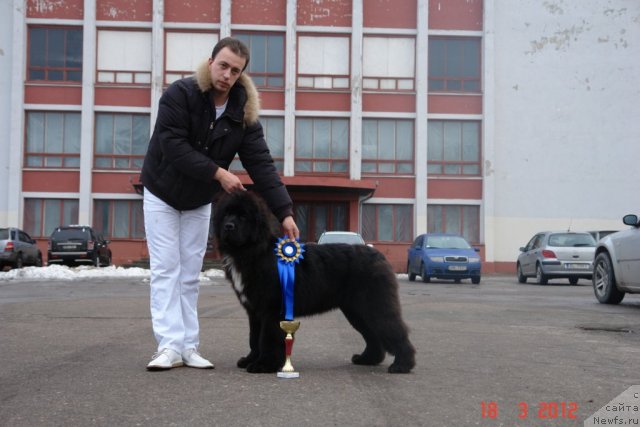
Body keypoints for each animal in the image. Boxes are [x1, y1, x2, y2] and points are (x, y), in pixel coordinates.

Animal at [212, 191, 418, 374]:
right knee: (373, 335)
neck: (253, 252)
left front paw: (263, 365)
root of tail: (379, 256)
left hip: (374, 305)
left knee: (394, 330)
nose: (228, 226)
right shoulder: (254, 311)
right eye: (227, 214)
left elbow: (267, 338)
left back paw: (402, 365)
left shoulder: (271, 310)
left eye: (243, 216)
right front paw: (250, 360)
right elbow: (254, 338)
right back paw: (367, 359)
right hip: (356, 310)